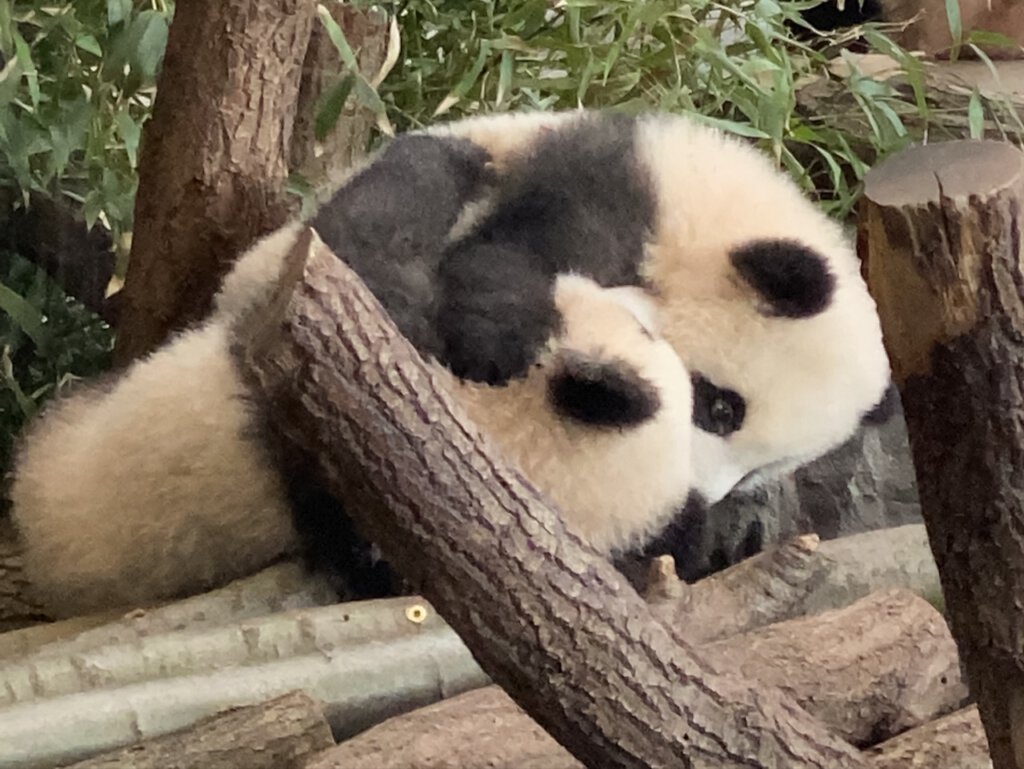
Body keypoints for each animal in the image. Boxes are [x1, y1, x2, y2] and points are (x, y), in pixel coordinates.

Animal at [8, 109, 892, 618]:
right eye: (720, 404)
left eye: (757, 469)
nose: (703, 497)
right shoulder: (602, 183)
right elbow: (500, 250)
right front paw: (499, 326)